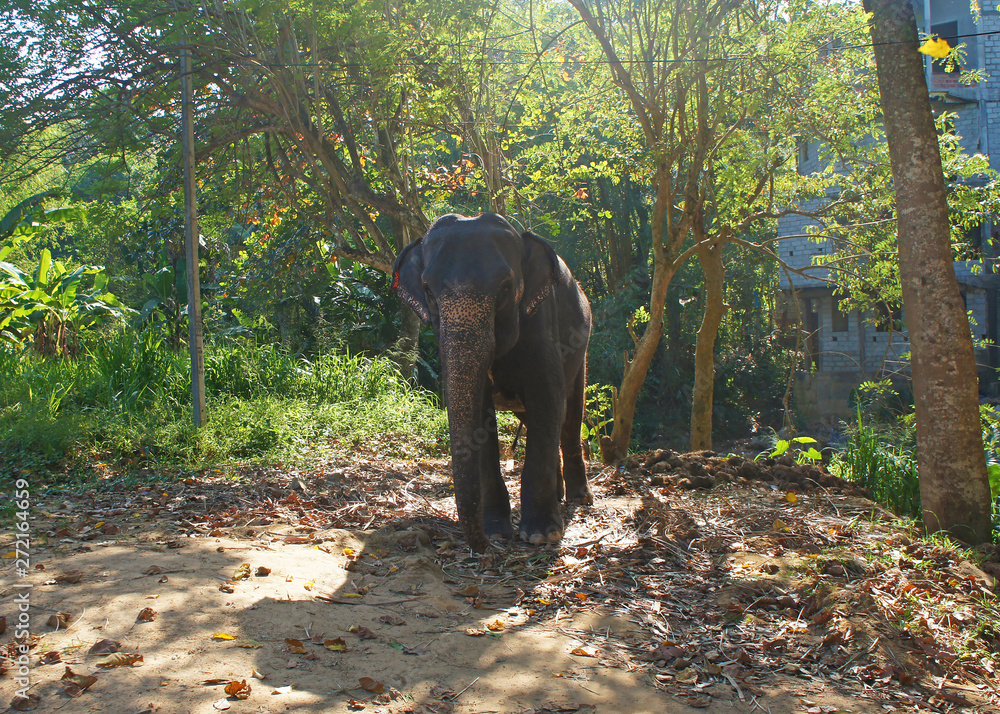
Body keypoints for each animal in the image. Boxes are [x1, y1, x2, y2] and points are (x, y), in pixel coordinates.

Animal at [393, 213, 593, 552]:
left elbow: (549, 399)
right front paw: (497, 530)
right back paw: (559, 496)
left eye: (506, 287)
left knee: (569, 415)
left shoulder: (542, 323)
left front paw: (542, 534)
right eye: (428, 291)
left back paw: (579, 498)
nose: (482, 546)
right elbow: (479, 416)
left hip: (582, 350)